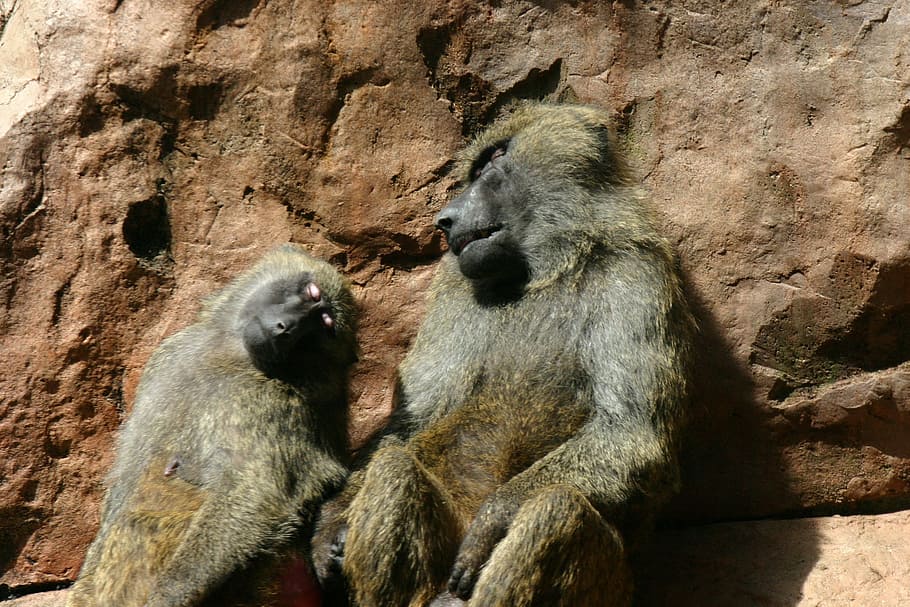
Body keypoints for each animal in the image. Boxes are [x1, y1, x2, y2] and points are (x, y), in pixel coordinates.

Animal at [67, 244, 358, 607]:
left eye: (323, 325)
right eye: (311, 294)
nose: (286, 327)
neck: (230, 356)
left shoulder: (265, 403)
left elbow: (255, 488)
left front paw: (167, 596)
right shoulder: (168, 357)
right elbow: (128, 479)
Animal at [310, 103, 696, 607]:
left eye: (493, 160)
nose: (445, 220)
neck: (543, 272)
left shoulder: (637, 274)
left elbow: (632, 430)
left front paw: (493, 518)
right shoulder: (452, 287)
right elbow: (411, 421)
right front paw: (331, 525)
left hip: (610, 587)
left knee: (556, 507)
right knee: (394, 464)